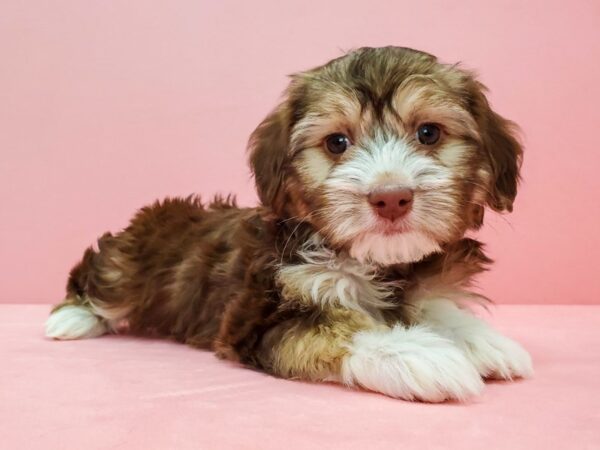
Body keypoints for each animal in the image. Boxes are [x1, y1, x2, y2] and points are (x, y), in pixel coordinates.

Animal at [48, 47, 536, 402]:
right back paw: (71, 319)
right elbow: (336, 328)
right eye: (337, 142)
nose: (391, 197)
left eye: (429, 133)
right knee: (101, 279)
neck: (372, 262)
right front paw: (417, 353)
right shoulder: (256, 318)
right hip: (127, 266)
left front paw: (479, 339)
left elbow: (433, 305)